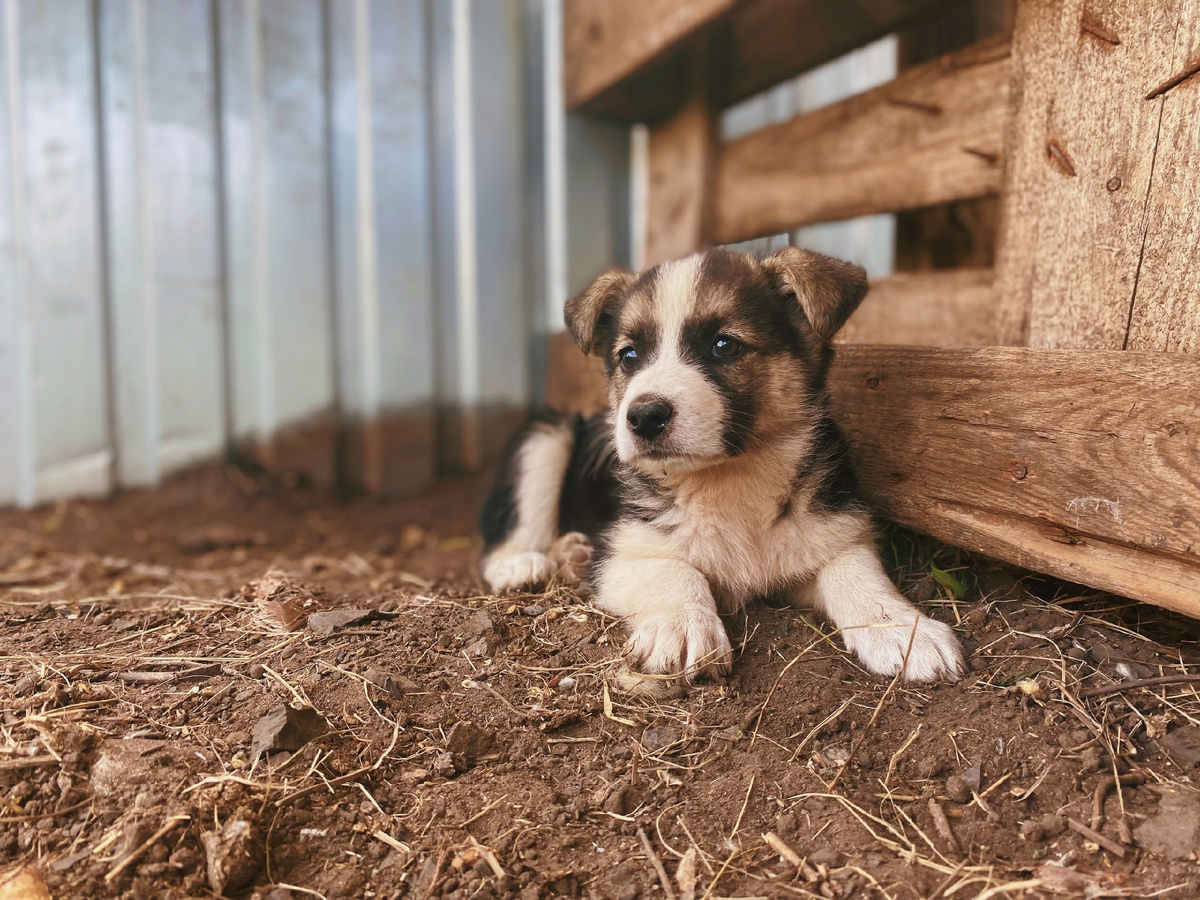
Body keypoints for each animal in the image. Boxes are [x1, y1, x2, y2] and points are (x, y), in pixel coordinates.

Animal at [482, 247, 960, 681]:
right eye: (629, 356)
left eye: (724, 346)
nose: (644, 417)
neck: (728, 476)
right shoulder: (620, 551)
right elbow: (672, 569)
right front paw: (680, 625)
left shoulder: (833, 531)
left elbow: (859, 573)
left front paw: (902, 629)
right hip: (547, 435)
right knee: (506, 542)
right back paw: (527, 564)